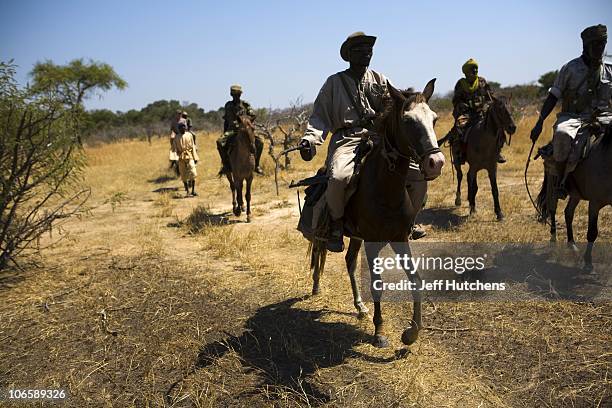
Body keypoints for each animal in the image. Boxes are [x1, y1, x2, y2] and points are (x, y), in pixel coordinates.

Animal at [310, 79, 444, 348]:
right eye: (407, 120)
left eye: (434, 119)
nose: (436, 162)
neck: (385, 189)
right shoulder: (372, 243)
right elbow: (377, 285)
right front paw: (380, 331)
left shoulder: (399, 239)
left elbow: (416, 280)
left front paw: (411, 333)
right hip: (328, 232)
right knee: (319, 252)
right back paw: (316, 287)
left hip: (355, 237)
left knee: (350, 261)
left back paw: (360, 307)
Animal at [536, 119, 608, 270]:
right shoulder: (594, 203)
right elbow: (592, 232)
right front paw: (588, 263)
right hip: (552, 186)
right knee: (552, 209)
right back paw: (553, 239)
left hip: (576, 194)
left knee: (568, 212)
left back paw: (572, 244)